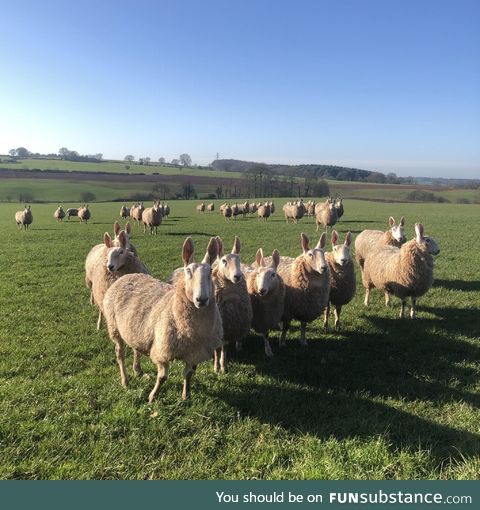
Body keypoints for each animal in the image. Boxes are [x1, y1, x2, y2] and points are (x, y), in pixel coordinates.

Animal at [103, 237, 223, 400]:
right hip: (114, 326)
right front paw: (152, 396)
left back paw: (137, 370)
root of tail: (128, 275)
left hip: (135, 328)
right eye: (188, 271)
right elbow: (162, 377)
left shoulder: (193, 353)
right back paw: (125, 381)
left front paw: (186, 395)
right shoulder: (162, 350)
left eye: (210, 271)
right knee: (119, 354)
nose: (202, 300)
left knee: (135, 349)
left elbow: (189, 374)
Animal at [212, 237, 253, 372]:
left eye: (238, 260)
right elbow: (216, 350)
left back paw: (239, 345)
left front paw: (223, 367)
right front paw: (216, 367)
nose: (237, 276)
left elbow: (224, 349)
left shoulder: (228, 328)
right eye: (224, 261)